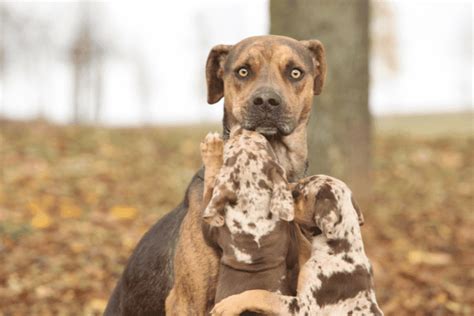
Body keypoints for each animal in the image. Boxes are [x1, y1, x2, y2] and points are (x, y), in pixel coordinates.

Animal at [202, 128, 298, 304]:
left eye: (262, 142)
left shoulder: (211, 231)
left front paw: (212, 148)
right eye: (265, 144)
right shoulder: (290, 244)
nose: (244, 129)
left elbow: (210, 184)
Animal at [213, 174, 384, 314]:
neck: (340, 251)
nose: (279, 186)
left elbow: (264, 295)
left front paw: (228, 305)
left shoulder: (303, 307)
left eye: (298, 191)